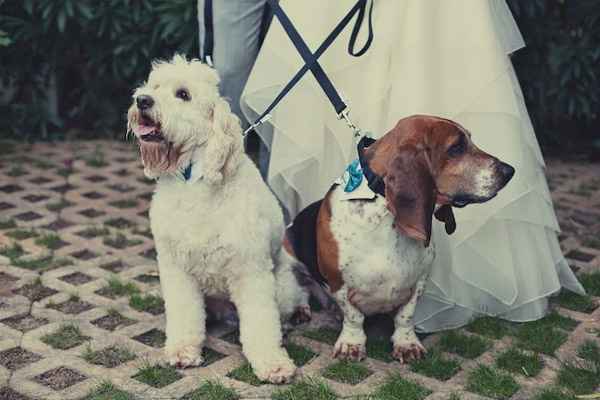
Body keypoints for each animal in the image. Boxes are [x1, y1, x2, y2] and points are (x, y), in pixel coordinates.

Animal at [126, 54, 310, 382]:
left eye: (183, 94)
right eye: (154, 86)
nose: (142, 100)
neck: (194, 181)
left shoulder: (251, 271)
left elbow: (261, 323)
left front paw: (272, 363)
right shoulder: (176, 269)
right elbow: (185, 313)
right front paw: (183, 350)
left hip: (281, 287)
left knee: (291, 301)